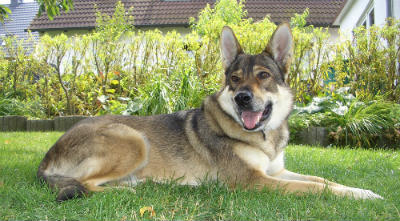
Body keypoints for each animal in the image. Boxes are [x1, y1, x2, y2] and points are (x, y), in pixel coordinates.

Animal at [38, 23, 384, 201]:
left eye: (263, 76)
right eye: (235, 79)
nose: (243, 98)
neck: (262, 138)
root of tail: (47, 157)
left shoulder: (276, 172)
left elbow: (324, 179)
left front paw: (363, 190)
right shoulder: (254, 181)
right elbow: (314, 187)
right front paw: (362, 196)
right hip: (134, 140)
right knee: (86, 184)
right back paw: (134, 187)